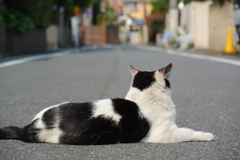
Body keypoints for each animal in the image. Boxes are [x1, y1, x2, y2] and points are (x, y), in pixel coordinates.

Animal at [0, 63, 214, 145]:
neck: (144, 97)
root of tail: (30, 127)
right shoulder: (165, 133)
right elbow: (189, 132)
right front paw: (208, 135)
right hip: (103, 135)